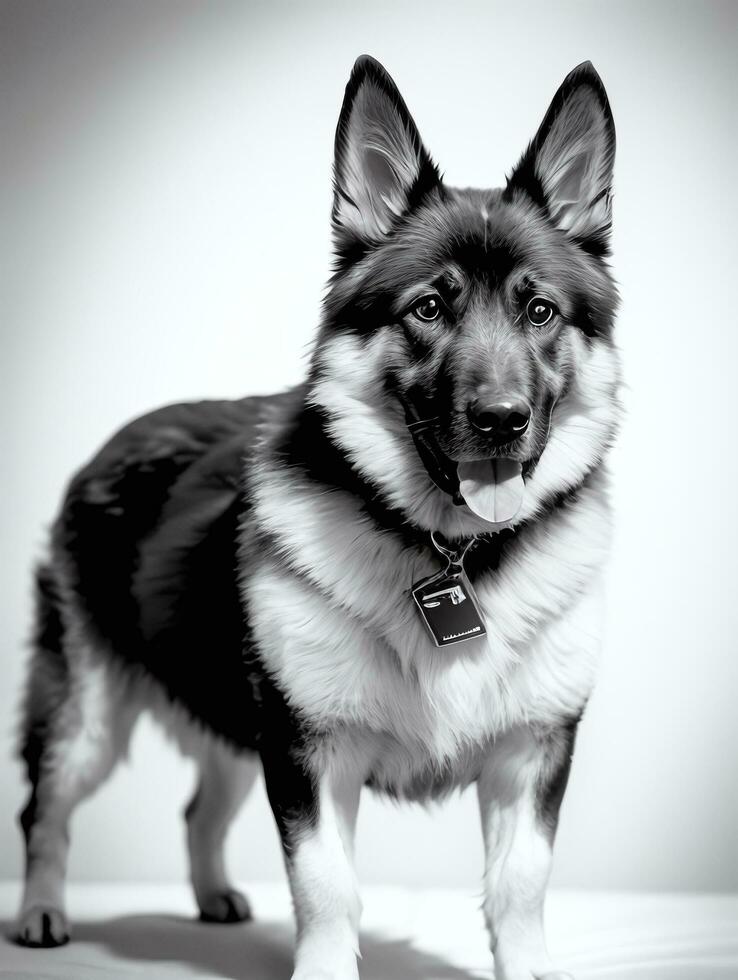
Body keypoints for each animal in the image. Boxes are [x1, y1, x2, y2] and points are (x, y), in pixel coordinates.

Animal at [15, 55, 616, 980]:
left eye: (539, 310)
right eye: (429, 309)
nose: (501, 421)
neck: (451, 552)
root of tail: (126, 433)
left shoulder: (531, 752)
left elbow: (520, 886)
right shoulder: (307, 752)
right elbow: (327, 886)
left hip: (233, 714)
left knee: (199, 810)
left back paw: (212, 898)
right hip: (89, 714)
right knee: (45, 806)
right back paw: (42, 911)